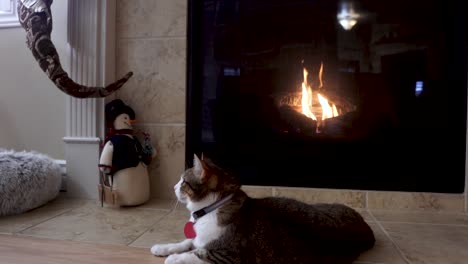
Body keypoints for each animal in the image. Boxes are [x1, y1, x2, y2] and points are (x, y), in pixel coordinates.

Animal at [152, 155, 374, 264]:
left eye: (183, 182)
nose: (173, 187)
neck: (212, 209)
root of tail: (366, 228)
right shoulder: (199, 237)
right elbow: (187, 241)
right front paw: (164, 247)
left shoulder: (230, 255)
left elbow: (198, 253)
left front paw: (175, 258)